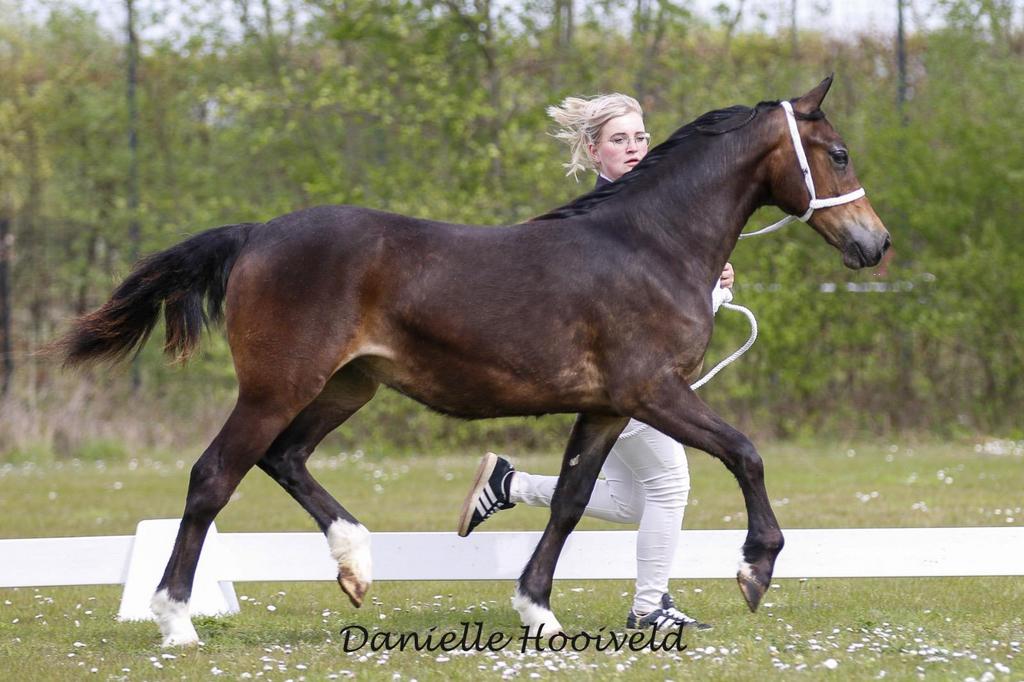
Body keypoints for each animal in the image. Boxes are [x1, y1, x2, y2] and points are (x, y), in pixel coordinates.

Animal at [55, 76, 889, 647]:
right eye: (839, 152)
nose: (874, 244)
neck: (649, 245)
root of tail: (256, 234)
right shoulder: (654, 391)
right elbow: (746, 453)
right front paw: (755, 568)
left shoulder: (606, 406)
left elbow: (571, 501)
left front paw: (538, 612)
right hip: (276, 386)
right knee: (213, 477)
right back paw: (176, 621)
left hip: (346, 386)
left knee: (283, 458)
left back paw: (355, 565)